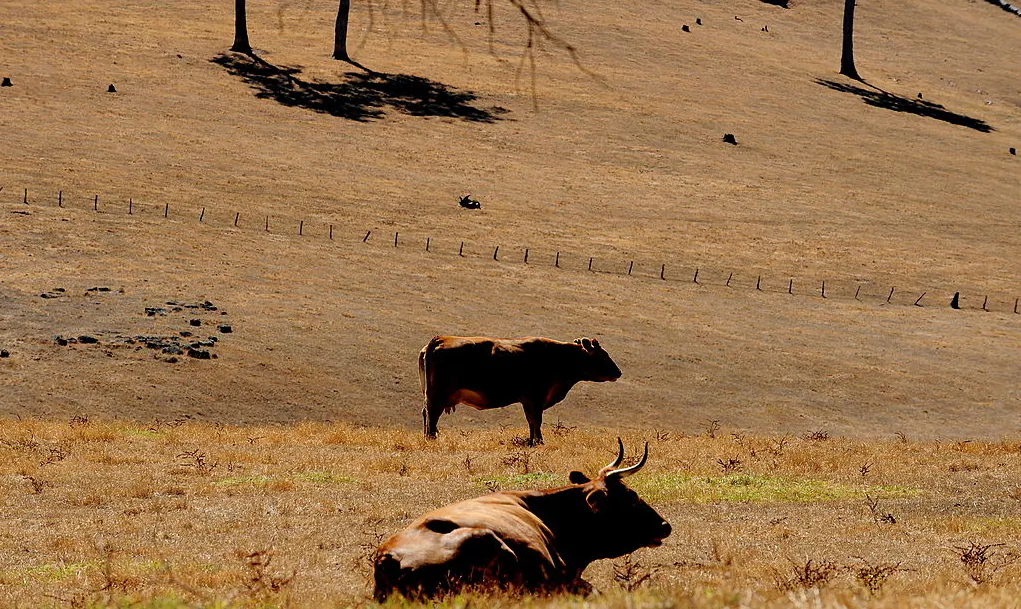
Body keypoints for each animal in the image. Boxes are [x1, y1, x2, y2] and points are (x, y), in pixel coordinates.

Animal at [418, 336, 622, 446]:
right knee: (432, 414)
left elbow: (531, 421)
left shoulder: (528, 400)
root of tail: (440, 339)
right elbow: (536, 420)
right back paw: (431, 438)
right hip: (438, 394)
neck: (558, 357)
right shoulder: (535, 398)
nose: (618, 372)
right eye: (603, 355)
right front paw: (539, 442)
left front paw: (533, 441)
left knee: (426, 413)